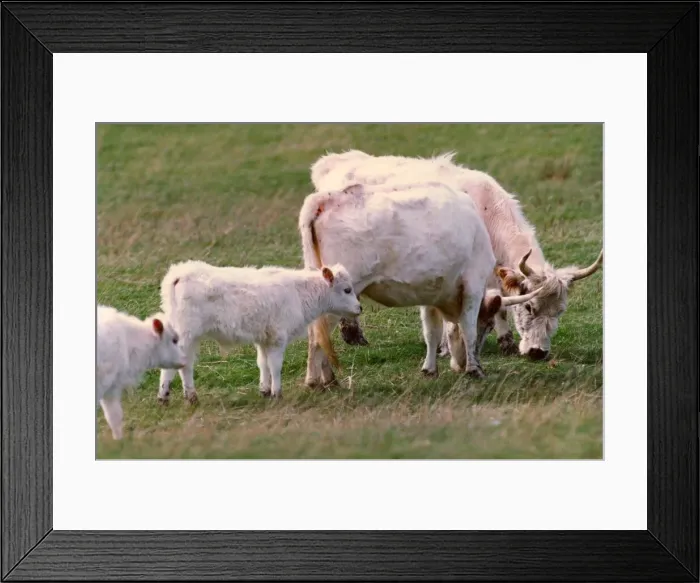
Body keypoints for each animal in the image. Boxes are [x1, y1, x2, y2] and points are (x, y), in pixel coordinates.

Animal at [157, 260, 362, 402]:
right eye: (347, 289)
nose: (359, 308)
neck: (298, 293)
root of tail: (179, 274)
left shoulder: (264, 338)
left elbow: (263, 363)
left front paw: (264, 390)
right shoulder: (278, 337)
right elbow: (275, 365)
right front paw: (277, 393)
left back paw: (171, 397)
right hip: (187, 334)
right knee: (182, 365)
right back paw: (182, 397)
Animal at [298, 181, 544, 388]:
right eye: (489, 325)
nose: (460, 364)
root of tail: (325, 200)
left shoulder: (431, 294)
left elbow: (432, 332)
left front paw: (430, 369)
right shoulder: (473, 286)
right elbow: (468, 329)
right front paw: (474, 369)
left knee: (315, 333)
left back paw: (323, 380)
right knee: (318, 335)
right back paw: (320, 380)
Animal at [309, 149, 603, 361]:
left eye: (560, 311)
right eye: (530, 307)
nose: (538, 353)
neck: (487, 211)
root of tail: (333, 161)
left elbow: (500, 304)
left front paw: (505, 342)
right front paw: (446, 348)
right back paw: (353, 335)